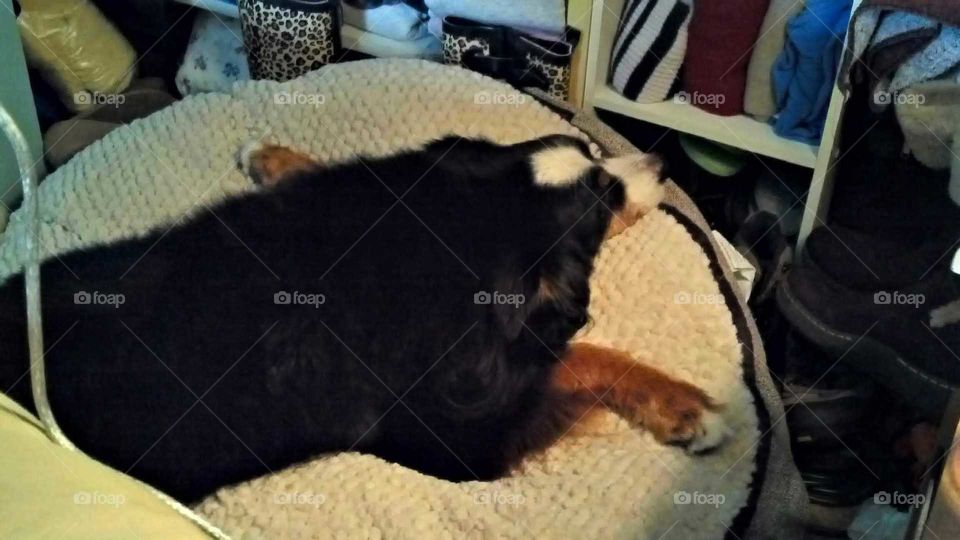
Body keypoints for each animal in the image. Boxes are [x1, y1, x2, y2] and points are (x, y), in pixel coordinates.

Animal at [0, 135, 728, 502]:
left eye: (591, 150)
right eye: (603, 196)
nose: (664, 162)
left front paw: (271, 156)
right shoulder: (459, 440)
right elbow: (584, 360)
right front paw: (688, 408)